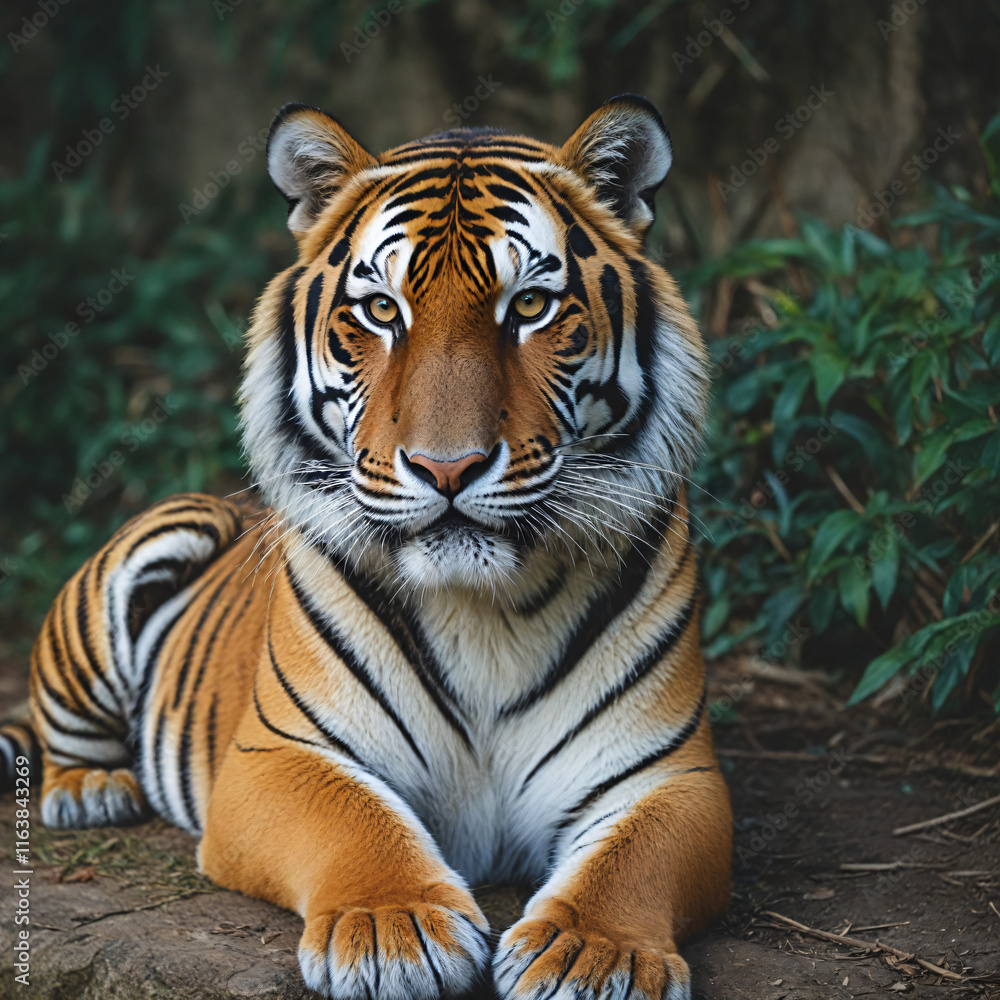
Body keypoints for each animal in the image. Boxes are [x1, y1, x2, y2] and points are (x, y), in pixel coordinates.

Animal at [1, 94, 732, 1000]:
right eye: (382, 312)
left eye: (530, 306)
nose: (447, 466)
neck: (484, 611)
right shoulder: (278, 754)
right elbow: (353, 823)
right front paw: (394, 930)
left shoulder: (669, 775)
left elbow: (631, 862)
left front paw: (594, 956)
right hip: (160, 538)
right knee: (61, 725)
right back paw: (91, 788)